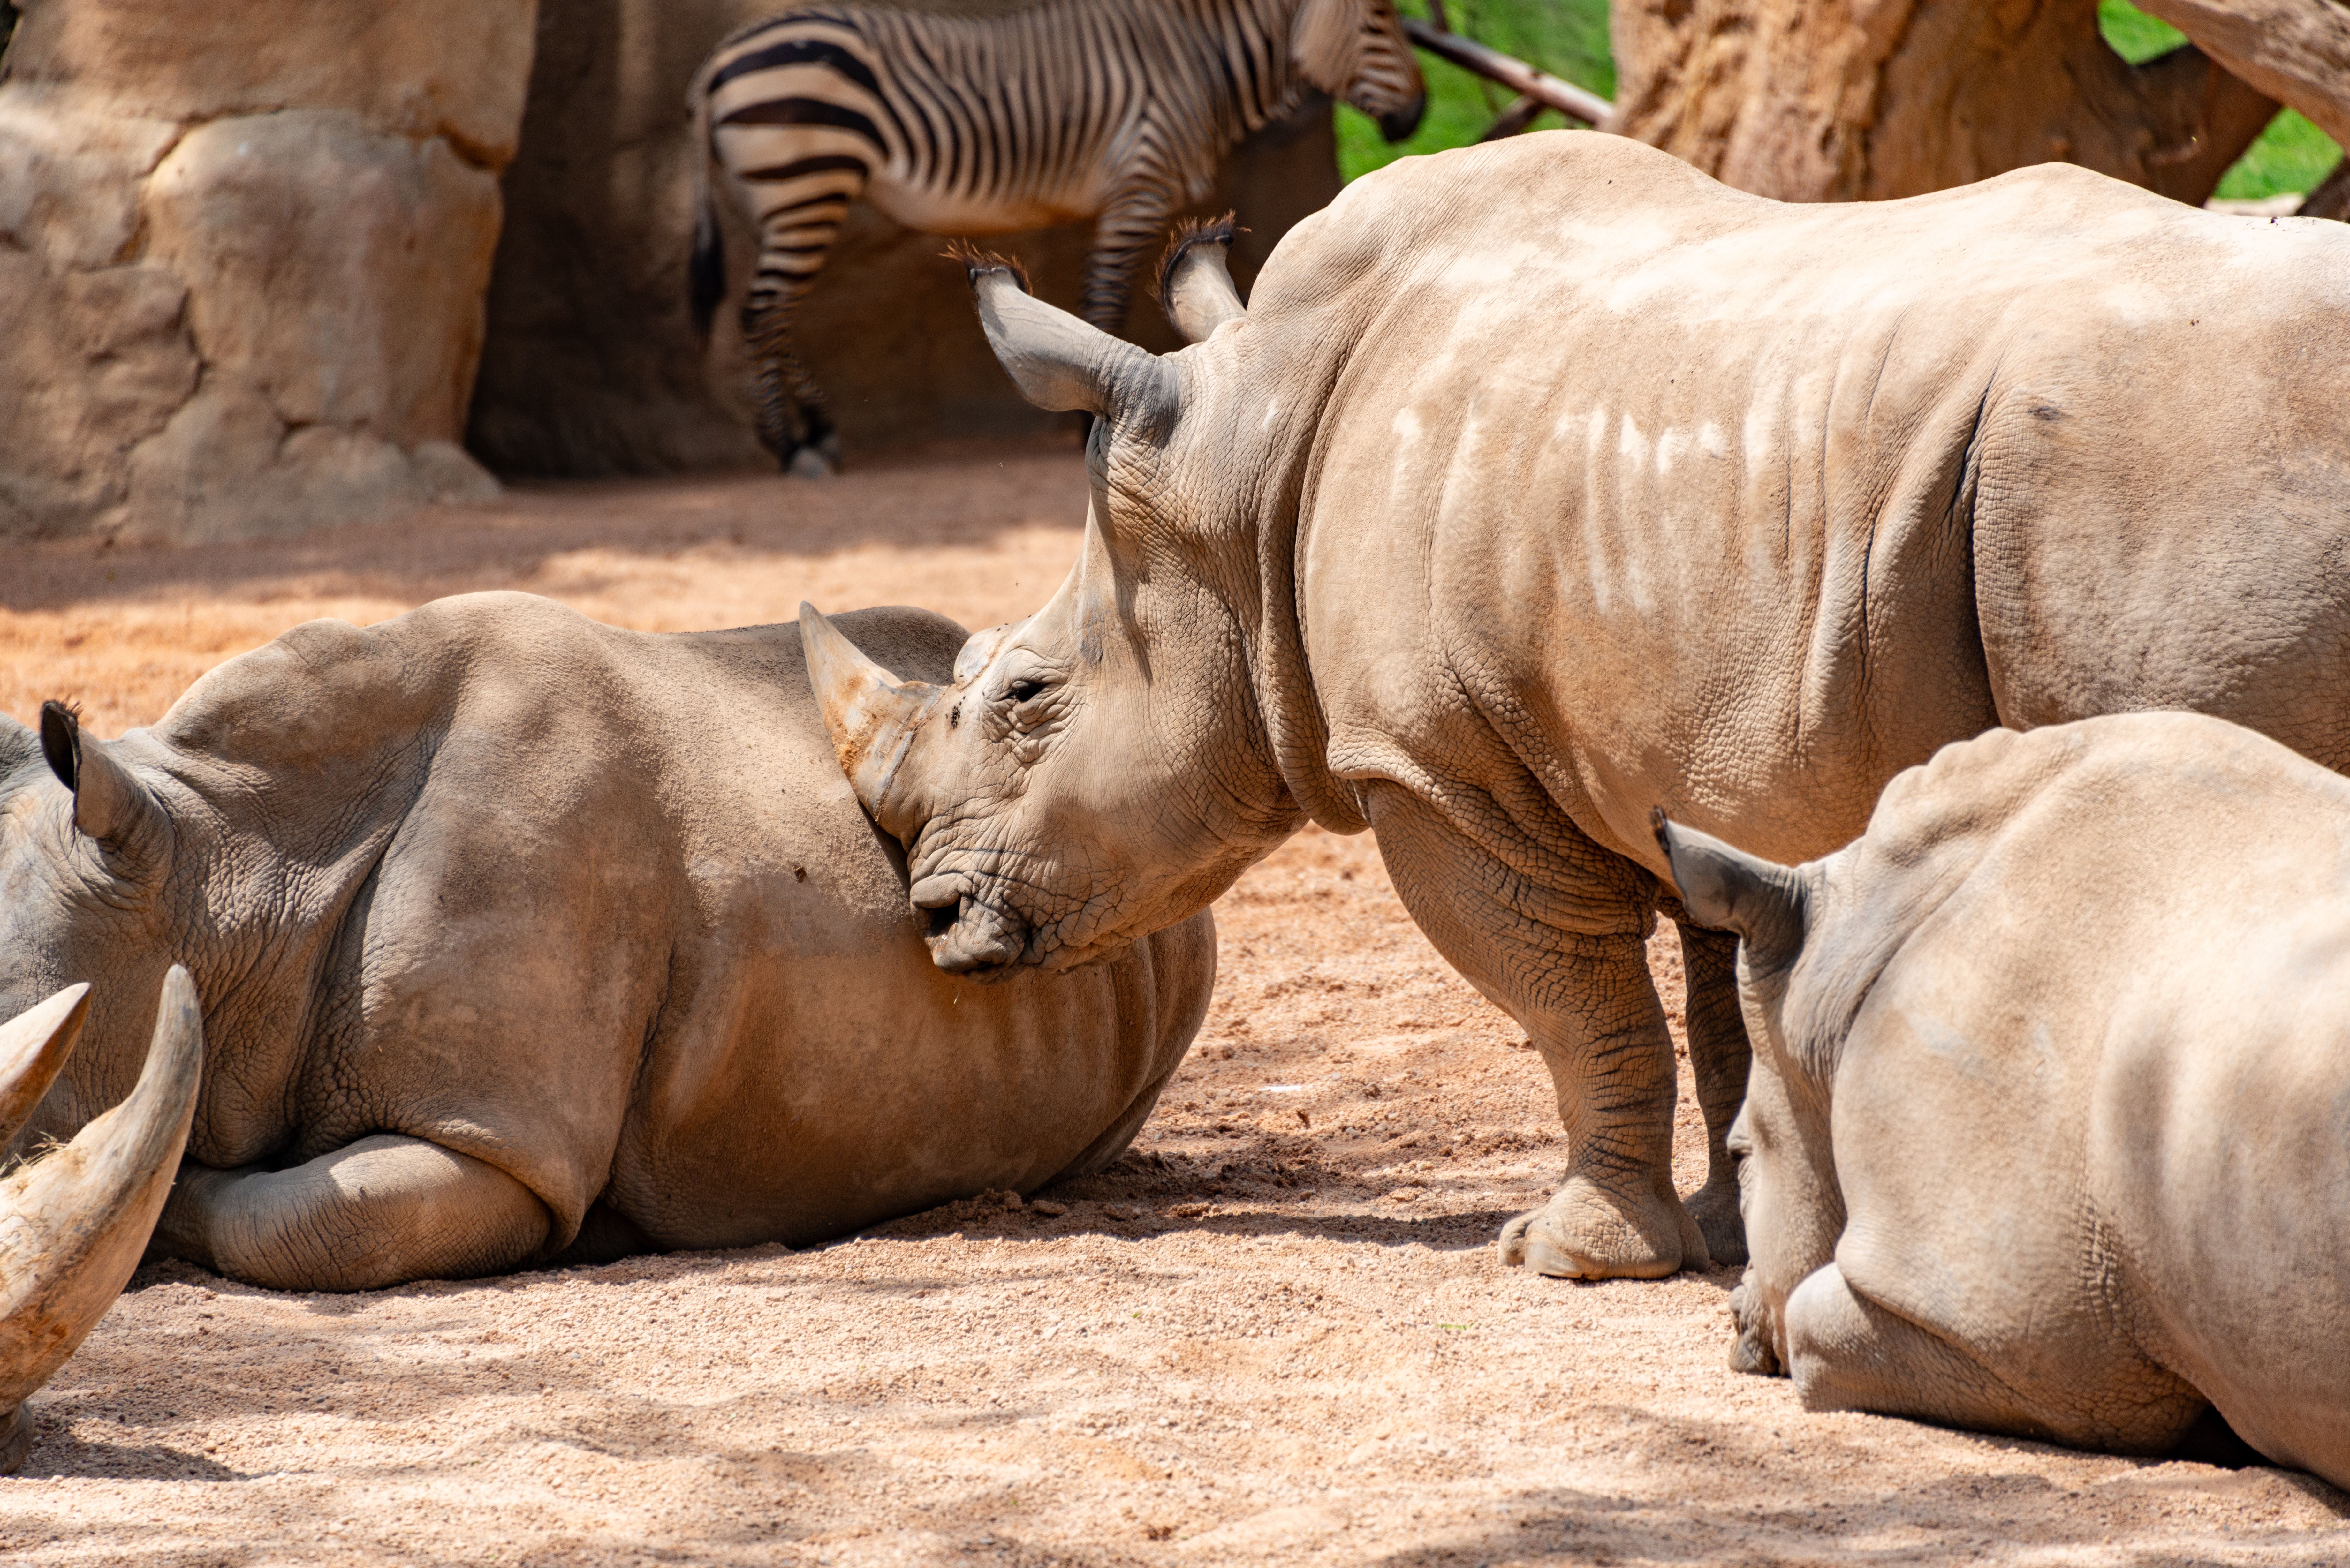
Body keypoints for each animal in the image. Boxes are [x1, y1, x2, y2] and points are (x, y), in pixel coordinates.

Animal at [795, 130, 2350, 1282]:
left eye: (1025, 693)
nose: (934, 917)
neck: (1241, 475)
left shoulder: (1432, 767)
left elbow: (1568, 999)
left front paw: (1570, 1252)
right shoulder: (1693, 748)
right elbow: (1721, 1010)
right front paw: (1729, 1229)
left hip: (2153, 460)